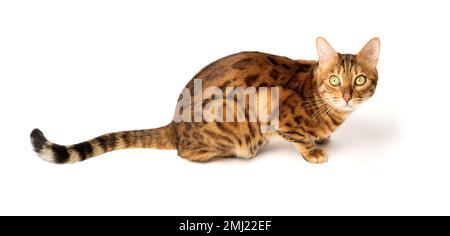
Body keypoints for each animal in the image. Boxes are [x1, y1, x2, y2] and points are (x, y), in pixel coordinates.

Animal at [30, 37, 380, 164]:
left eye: (359, 80)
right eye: (334, 80)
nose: (347, 95)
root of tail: (174, 123)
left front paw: (325, 139)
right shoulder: (276, 111)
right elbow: (300, 138)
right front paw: (313, 150)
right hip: (232, 116)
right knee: (185, 152)